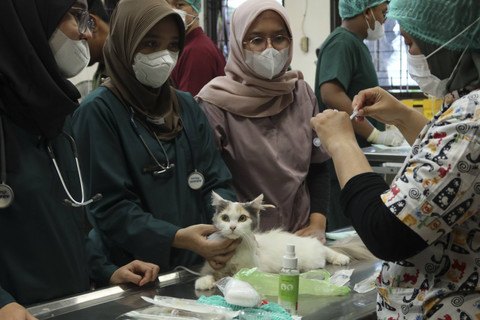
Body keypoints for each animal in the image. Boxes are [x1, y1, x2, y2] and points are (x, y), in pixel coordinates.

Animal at [195, 191, 352, 292]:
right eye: (225, 218)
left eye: (242, 218)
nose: (232, 227)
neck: (235, 251)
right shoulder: (211, 266)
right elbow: (214, 273)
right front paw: (204, 280)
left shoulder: (250, 270)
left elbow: (226, 275)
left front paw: (204, 282)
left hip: (313, 258)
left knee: (323, 248)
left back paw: (340, 258)